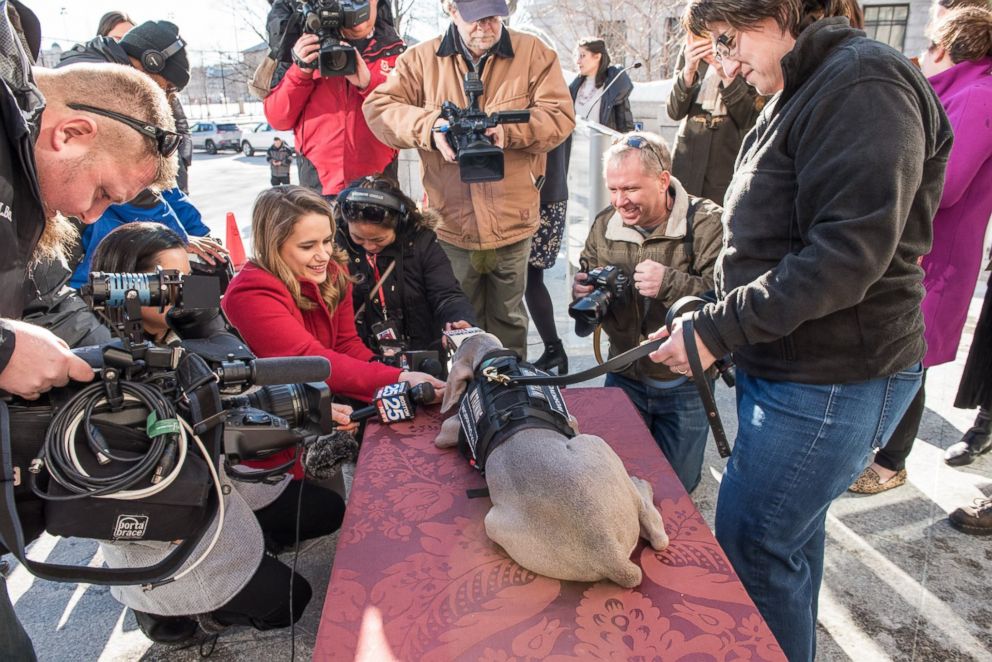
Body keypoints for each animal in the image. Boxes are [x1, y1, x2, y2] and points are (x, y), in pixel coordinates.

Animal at [434, 334, 668, 588]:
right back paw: (642, 486)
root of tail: (611, 555)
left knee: (657, 537)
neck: (492, 365)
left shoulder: (449, 430)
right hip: (593, 443)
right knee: (655, 528)